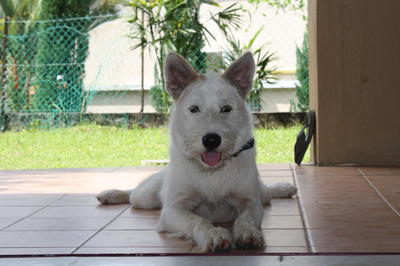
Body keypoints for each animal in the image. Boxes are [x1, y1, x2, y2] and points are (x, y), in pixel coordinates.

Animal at [97, 52, 296, 251]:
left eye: (226, 109)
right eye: (194, 109)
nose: (211, 140)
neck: (211, 172)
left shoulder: (250, 202)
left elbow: (245, 218)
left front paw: (248, 232)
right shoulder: (173, 209)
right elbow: (197, 220)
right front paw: (212, 234)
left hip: (262, 195)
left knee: (267, 192)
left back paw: (284, 188)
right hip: (144, 198)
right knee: (132, 194)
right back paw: (110, 195)